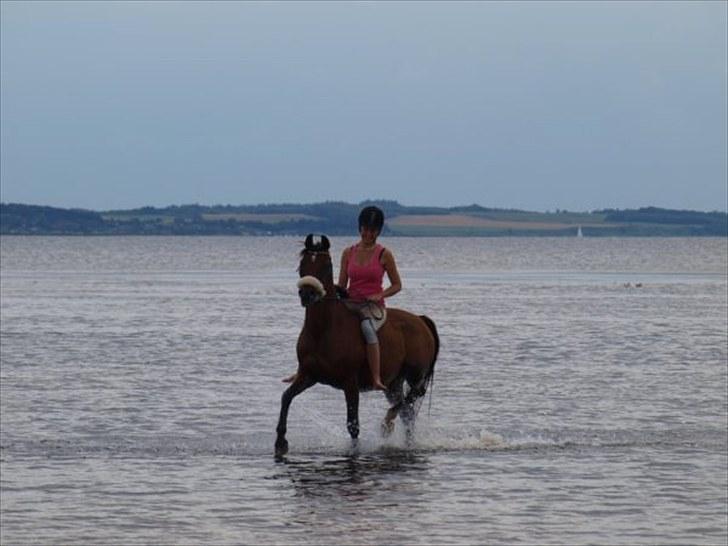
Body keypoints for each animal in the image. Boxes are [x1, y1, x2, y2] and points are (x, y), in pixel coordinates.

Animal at [276, 234, 440, 454]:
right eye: (302, 264)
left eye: (327, 265)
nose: (307, 294)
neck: (323, 329)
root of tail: (421, 320)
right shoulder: (308, 375)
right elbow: (286, 397)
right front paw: (280, 442)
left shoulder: (350, 383)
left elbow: (353, 424)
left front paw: (354, 450)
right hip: (393, 383)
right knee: (407, 413)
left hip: (416, 375)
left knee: (410, 400)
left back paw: (387, 423)